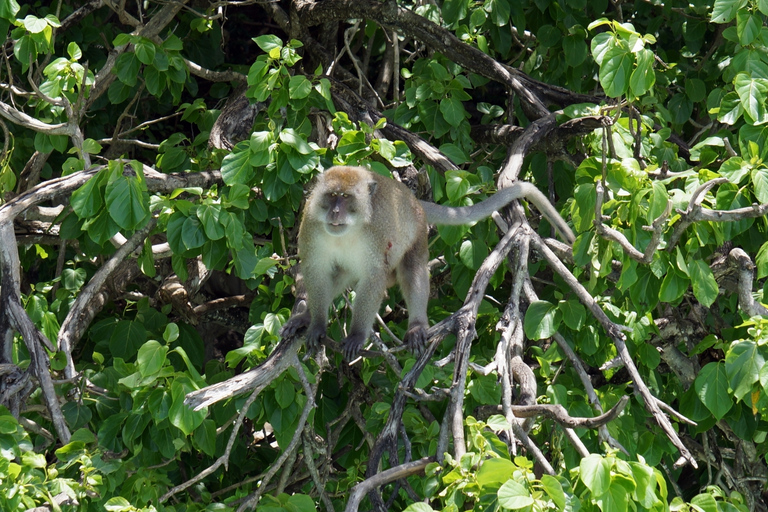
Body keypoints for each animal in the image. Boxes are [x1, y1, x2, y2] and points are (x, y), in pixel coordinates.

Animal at [280, 166, 572, 358]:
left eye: (346, 197)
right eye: (331, 196)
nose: (336, 212)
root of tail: (413, 201)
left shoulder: (376, 237)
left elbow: (374, 277)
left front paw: (356, 335)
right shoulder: (311, 226)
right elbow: (316, 270)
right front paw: (317, 323)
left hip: (418, 231)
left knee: (412, 270)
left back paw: (417, 325)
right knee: (340, 274)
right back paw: (304, 316)